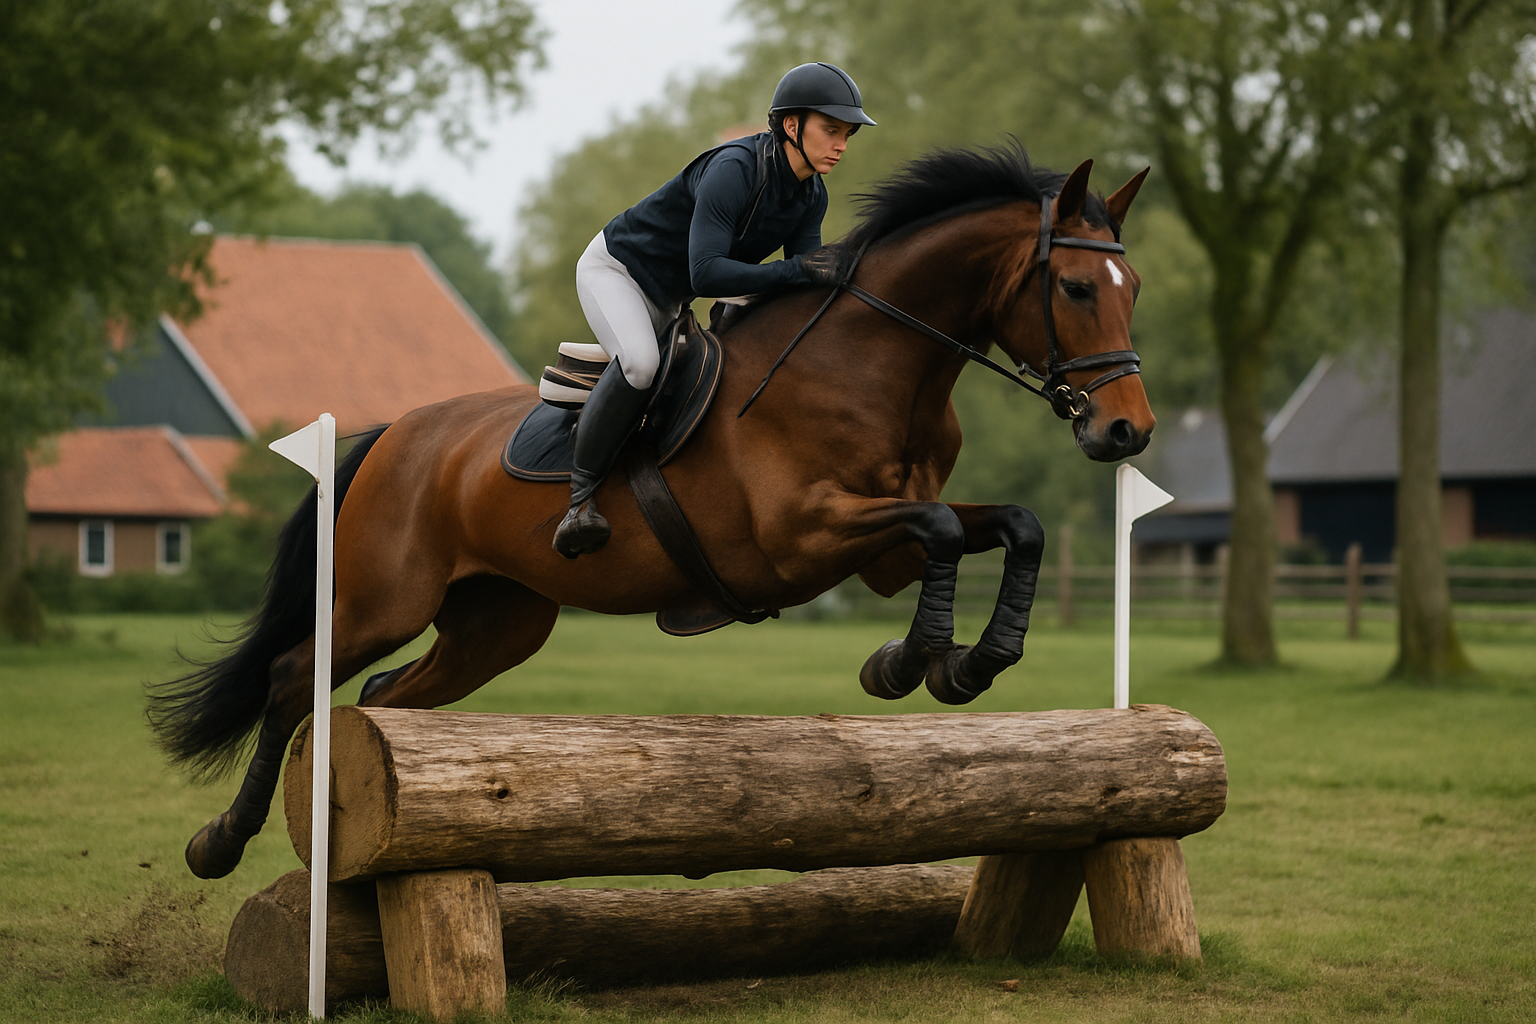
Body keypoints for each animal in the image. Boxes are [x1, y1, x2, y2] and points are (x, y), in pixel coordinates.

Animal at [150, 143, 1156, 879]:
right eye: (1074, 289)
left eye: (1135, 290)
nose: (1126, 430)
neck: (875, 368)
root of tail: (398, 431)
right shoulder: (805, 537)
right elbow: (948, 531)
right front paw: (911, 664)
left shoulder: (885, 549)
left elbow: (1010, 526)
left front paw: (968, 662)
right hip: (379, 599)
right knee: (293, 678)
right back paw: (218, 843)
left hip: (496, 623)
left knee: (388, 695)